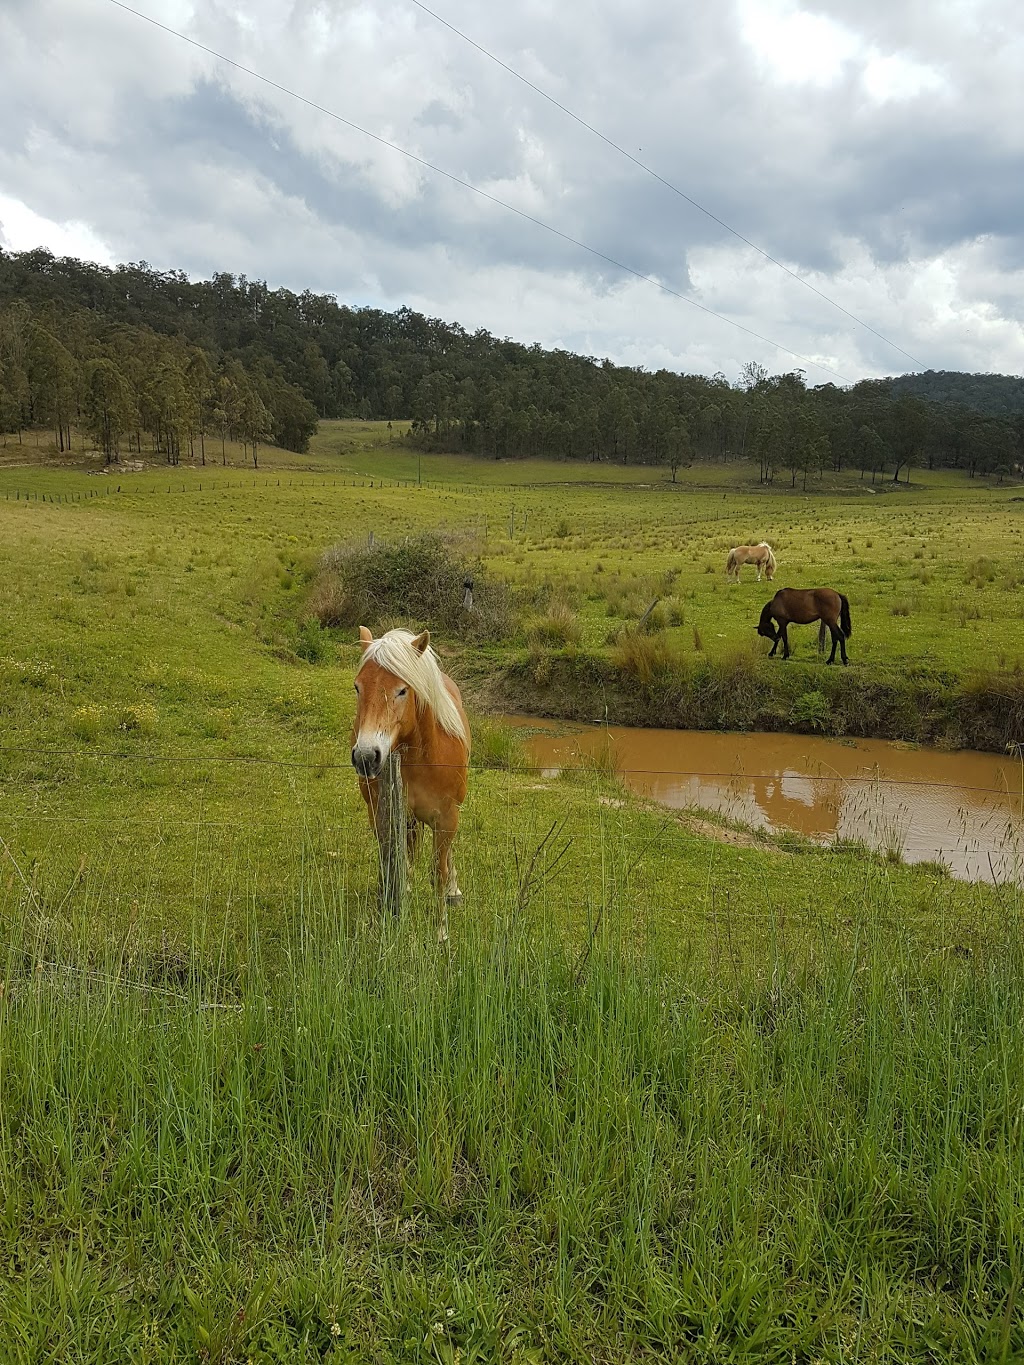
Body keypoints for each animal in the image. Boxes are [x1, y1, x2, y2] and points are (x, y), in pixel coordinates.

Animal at [349, 625, 469, 928]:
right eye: (357, 687)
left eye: (402, 690)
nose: (366, 756)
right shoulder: (382, 816)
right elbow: (391, 866)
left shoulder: (447, 818)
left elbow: (439, 873)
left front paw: (441, 932)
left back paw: (454, 892)